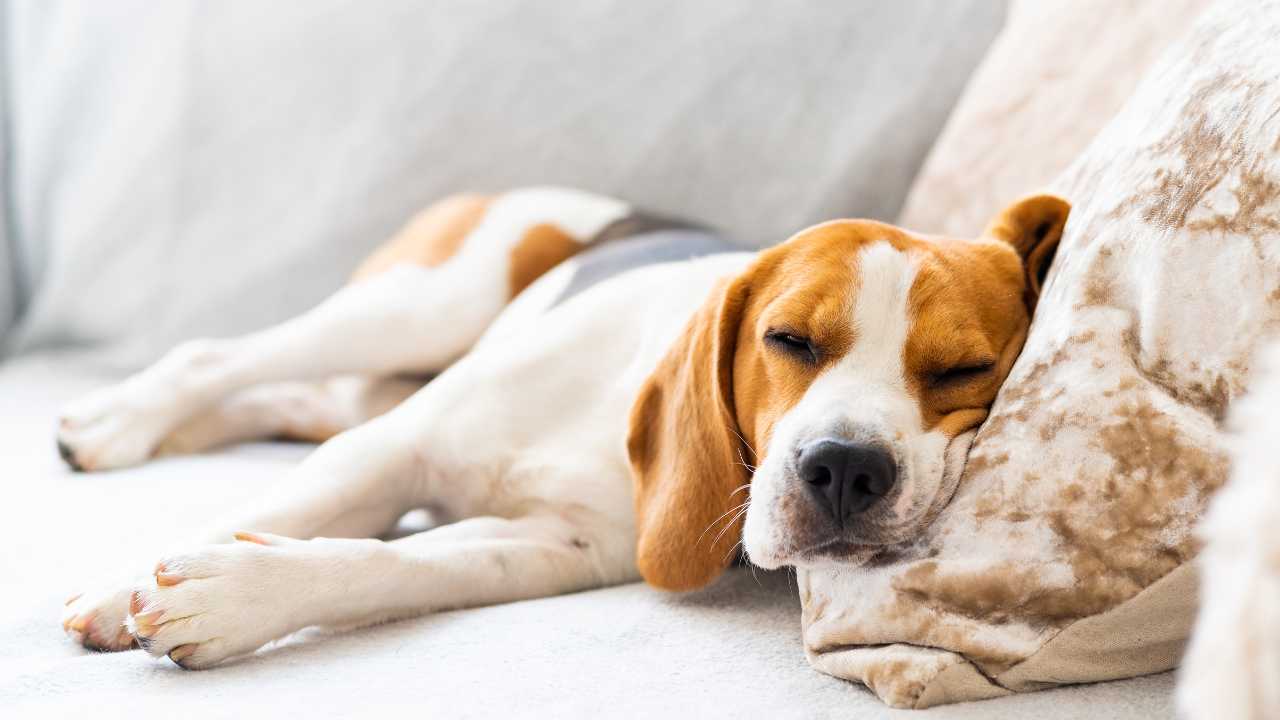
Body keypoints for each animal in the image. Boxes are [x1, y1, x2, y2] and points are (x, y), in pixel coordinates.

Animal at [55, 185, 1064, 666]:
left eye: (965, 372)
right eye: (788, 339)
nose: (847, 469)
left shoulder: (556, 546)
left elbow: (393, 561)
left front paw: (238, 594)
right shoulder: (390, 450)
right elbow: (278, 511)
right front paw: (118, 588)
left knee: (283, 399)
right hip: (421, 306)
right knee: (215, 358)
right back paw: (115, 422)